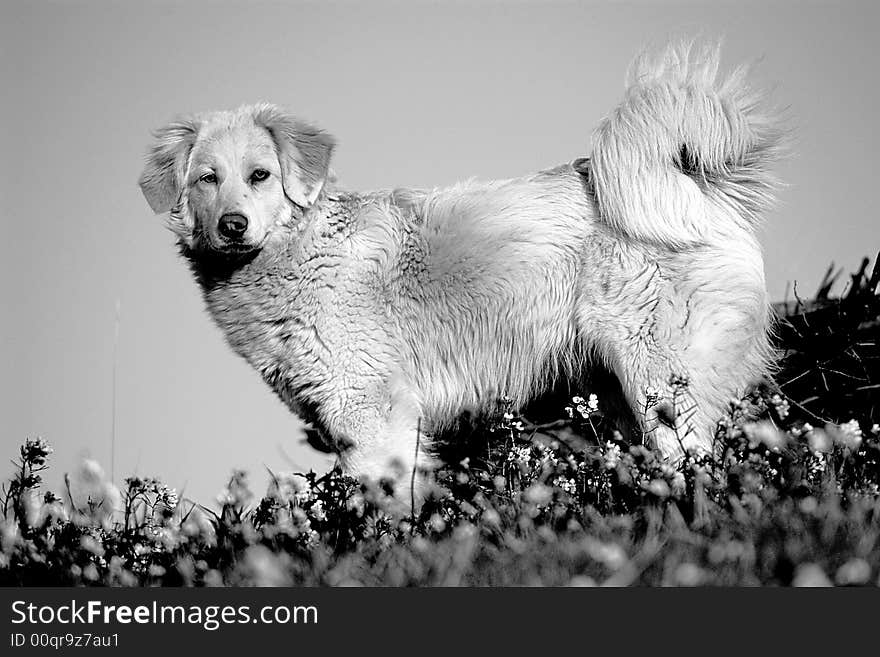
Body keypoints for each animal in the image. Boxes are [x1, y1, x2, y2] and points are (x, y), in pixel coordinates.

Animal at [141, 41, 788, 500]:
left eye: (260, 176)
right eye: (207, 179)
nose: (232, 226)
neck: (302, 252)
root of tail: (696, 189)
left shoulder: (371, 414)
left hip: (662, 385)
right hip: (623, 394)